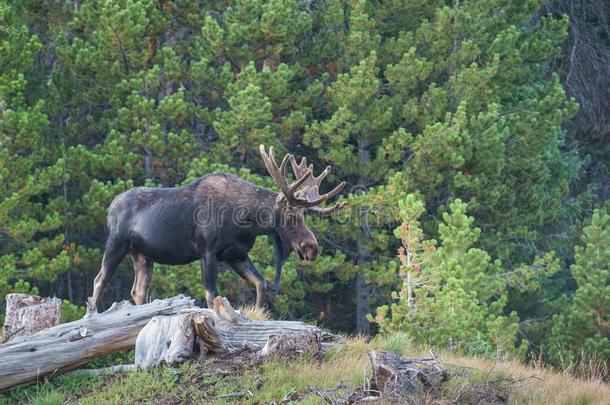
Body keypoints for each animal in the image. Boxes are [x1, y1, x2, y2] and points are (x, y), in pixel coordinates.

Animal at [84, 145, 346, 312]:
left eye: (304, 215)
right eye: (291, 216)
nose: (311, 248)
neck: (246, 223)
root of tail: (109, 206)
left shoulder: (236, 254)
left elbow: (261, 284)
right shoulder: (207, 251)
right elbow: (212, 295)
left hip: (143, 255)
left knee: (137, 290)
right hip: (116, 244)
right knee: (99, 281)